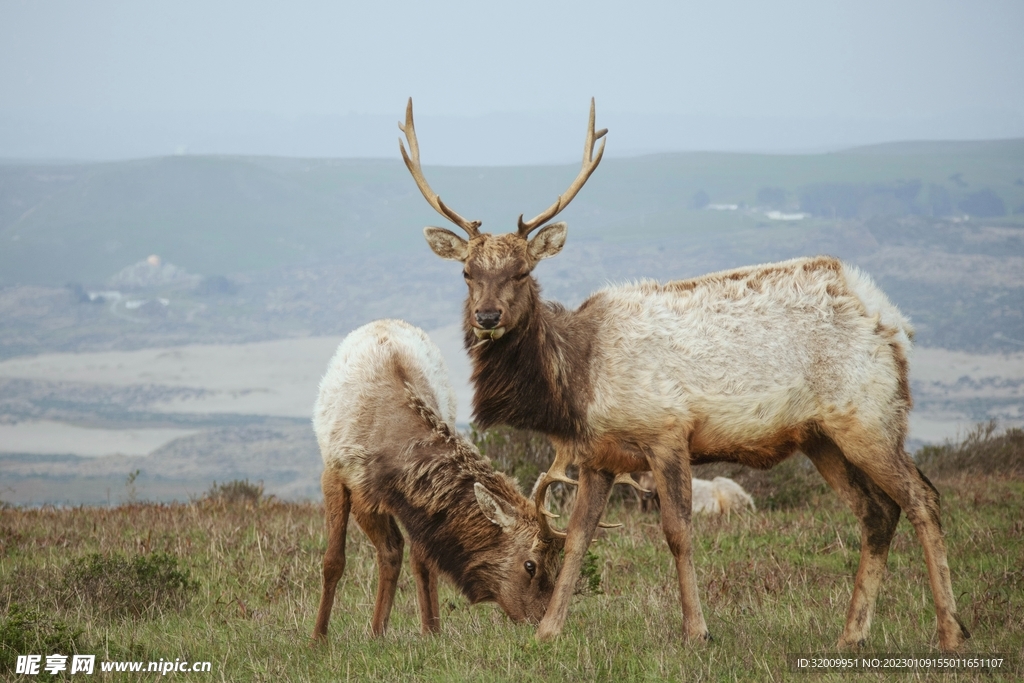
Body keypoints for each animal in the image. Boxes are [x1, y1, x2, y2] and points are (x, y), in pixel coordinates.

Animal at [311, 319, 562, 640]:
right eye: (531, 565)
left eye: (558, 563)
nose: (541, 623)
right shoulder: (336, 474)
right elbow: (333, 561)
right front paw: (318, 637)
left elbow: (417, 558)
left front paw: (426, 630)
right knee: (392, 551)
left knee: (403, 553)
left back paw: (401, 629)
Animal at [396, 98, 971, 652]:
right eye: (467, 272)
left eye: (522, 271)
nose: (486, 316)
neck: (578, 385)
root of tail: (893, 322)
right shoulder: (600, 456)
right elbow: (580, 537)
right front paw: (548, 631)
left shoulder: (667, 433)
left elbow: (677, 532)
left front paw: (697, 630)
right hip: (821, 437)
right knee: (876, 512)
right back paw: (851, 634)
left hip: (869, 415)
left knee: (922, 498)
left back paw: (950, 632)